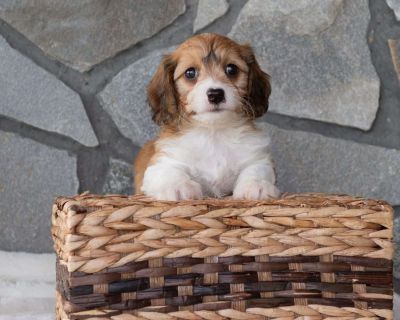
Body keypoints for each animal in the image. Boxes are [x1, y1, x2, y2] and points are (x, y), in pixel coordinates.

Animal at [134, 33, 278, 200]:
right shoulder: (161, 161)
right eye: (190, 73)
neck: (213, 134)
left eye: (232, 69)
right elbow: (169, 171)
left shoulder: (257, 157)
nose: (215, 94)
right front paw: (179, 187)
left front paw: (256, 185)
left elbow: (256, 169)